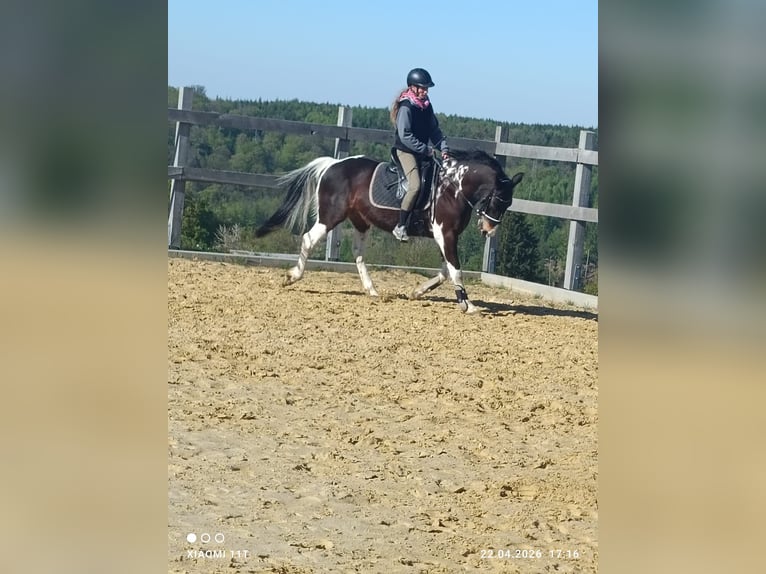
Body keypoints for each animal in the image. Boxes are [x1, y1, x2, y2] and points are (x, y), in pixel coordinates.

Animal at [255, 150, 523, 313]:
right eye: (498, 199)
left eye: (508, 203)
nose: (488, 229)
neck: (453, 187)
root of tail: (333, 164)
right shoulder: (445, 234)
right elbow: (455, 270)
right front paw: (467, 305)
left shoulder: (446, 236)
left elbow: (446, 271)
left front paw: (417, 292)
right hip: (330, 216)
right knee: (309, 239)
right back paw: (292, 277)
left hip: (360, 221)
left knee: (358, 253)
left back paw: (372, 291)